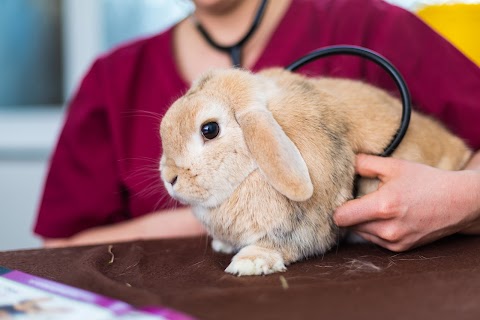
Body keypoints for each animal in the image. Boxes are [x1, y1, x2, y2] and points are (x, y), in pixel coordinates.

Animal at [158, 67, 472, 276]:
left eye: (209, 129)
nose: (170, 178)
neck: (251, 172)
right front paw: (223, 245)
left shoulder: (296, 227)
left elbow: (278, 245)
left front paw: (249, 263)